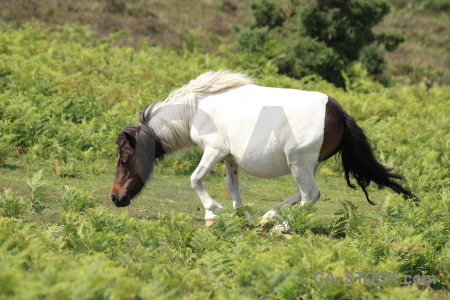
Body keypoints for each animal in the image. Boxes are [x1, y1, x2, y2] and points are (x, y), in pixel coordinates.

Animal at [110, 70, 416, 230]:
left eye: (124, 160)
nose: (115, 198)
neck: (196, 109)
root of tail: (339, 112)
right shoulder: (229, 158)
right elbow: (233, 189)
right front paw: (242, 217)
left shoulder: (214, 151)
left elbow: (195, 179)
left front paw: (211, 212)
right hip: (309, 165)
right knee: (301, 194)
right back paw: (269, 216)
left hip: (298, 163)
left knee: (310, 195)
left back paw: (282, 226)